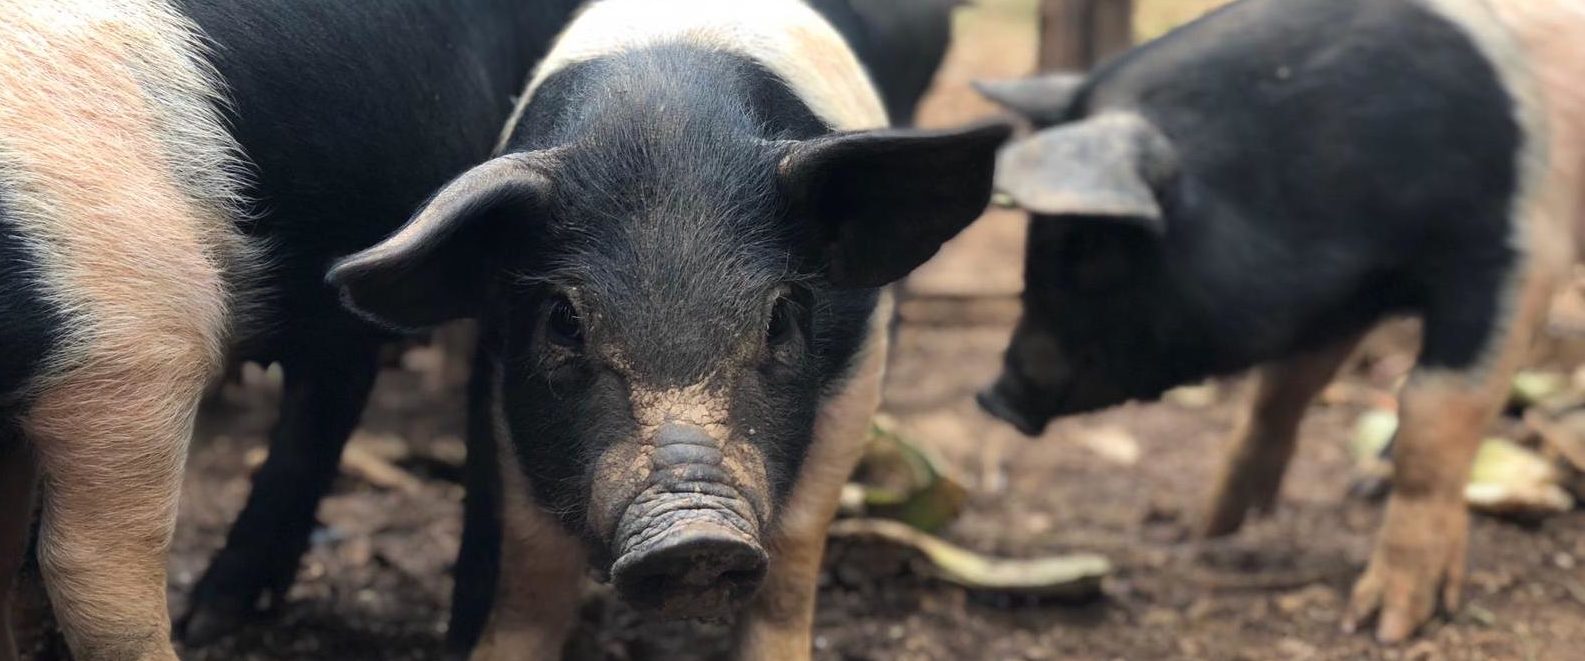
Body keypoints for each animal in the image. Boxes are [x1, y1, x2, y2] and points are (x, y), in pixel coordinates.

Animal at [328, 0, 1008, 653]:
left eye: (779, 319)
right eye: (564, 322)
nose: (695, 536)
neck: (665, 123)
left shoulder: (860, 361)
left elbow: (793, 556)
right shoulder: (501, 374)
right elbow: (531, 570)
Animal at [970, 0, 1585, 643]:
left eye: (1092, 249)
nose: (994, 397)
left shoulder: (1517, 254)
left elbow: (1435, 413)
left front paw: (1384, 625)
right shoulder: (1340, 292)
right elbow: (1283, 387)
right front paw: (1211, 526)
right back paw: (1361, 482)